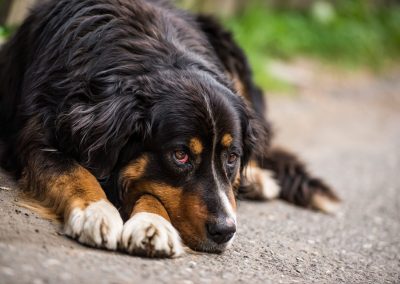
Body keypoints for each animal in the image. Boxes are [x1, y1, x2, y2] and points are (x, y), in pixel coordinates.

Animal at [0, 0, 340, 258]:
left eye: (231, 157)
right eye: (180, 155)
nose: (225, 231)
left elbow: (152, 191)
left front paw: (153, 224)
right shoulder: (35, 138)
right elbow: (72, 172)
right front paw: (97, 212)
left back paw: (256, 180)